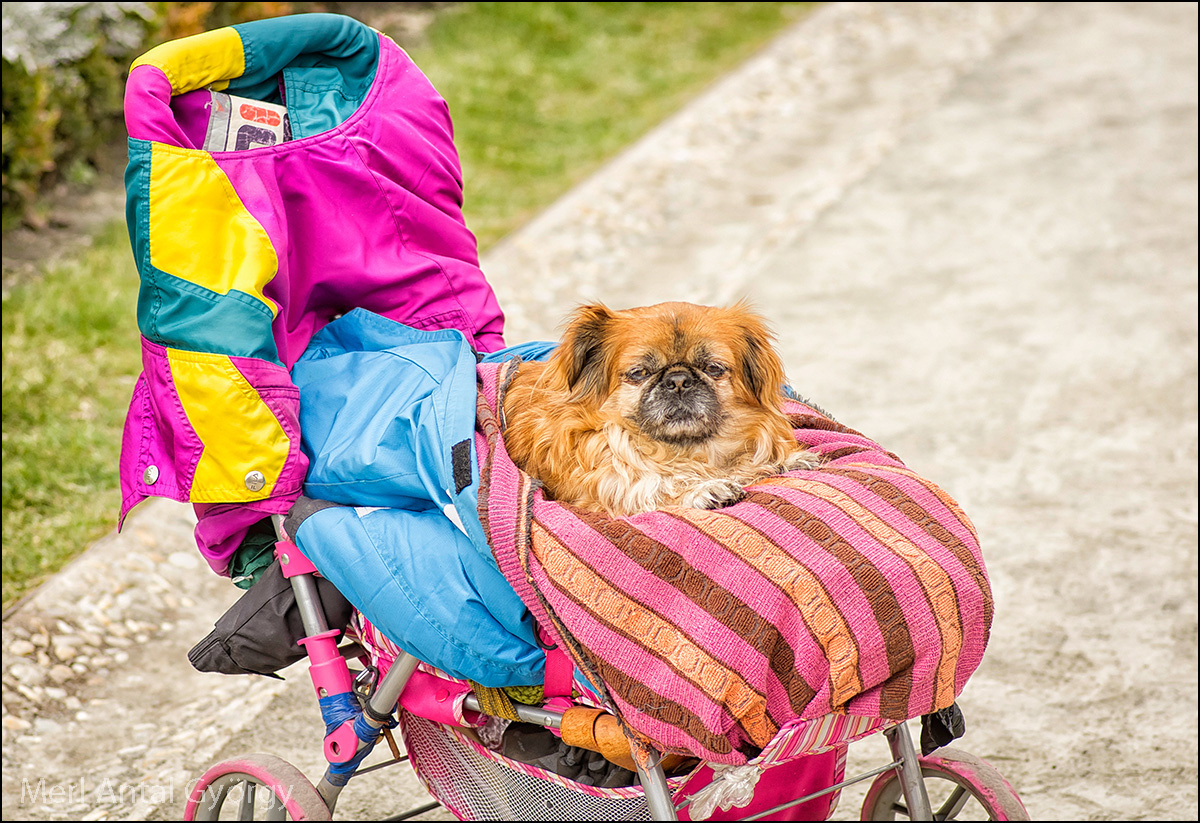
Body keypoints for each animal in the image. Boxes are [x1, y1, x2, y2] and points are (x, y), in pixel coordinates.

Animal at [501, 303, 820, 518]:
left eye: (712, 368)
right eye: (640, 373)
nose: (678, 380)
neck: (685, 450)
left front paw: (782, 462)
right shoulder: (605, 495)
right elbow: (652, 489)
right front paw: (702, 489)